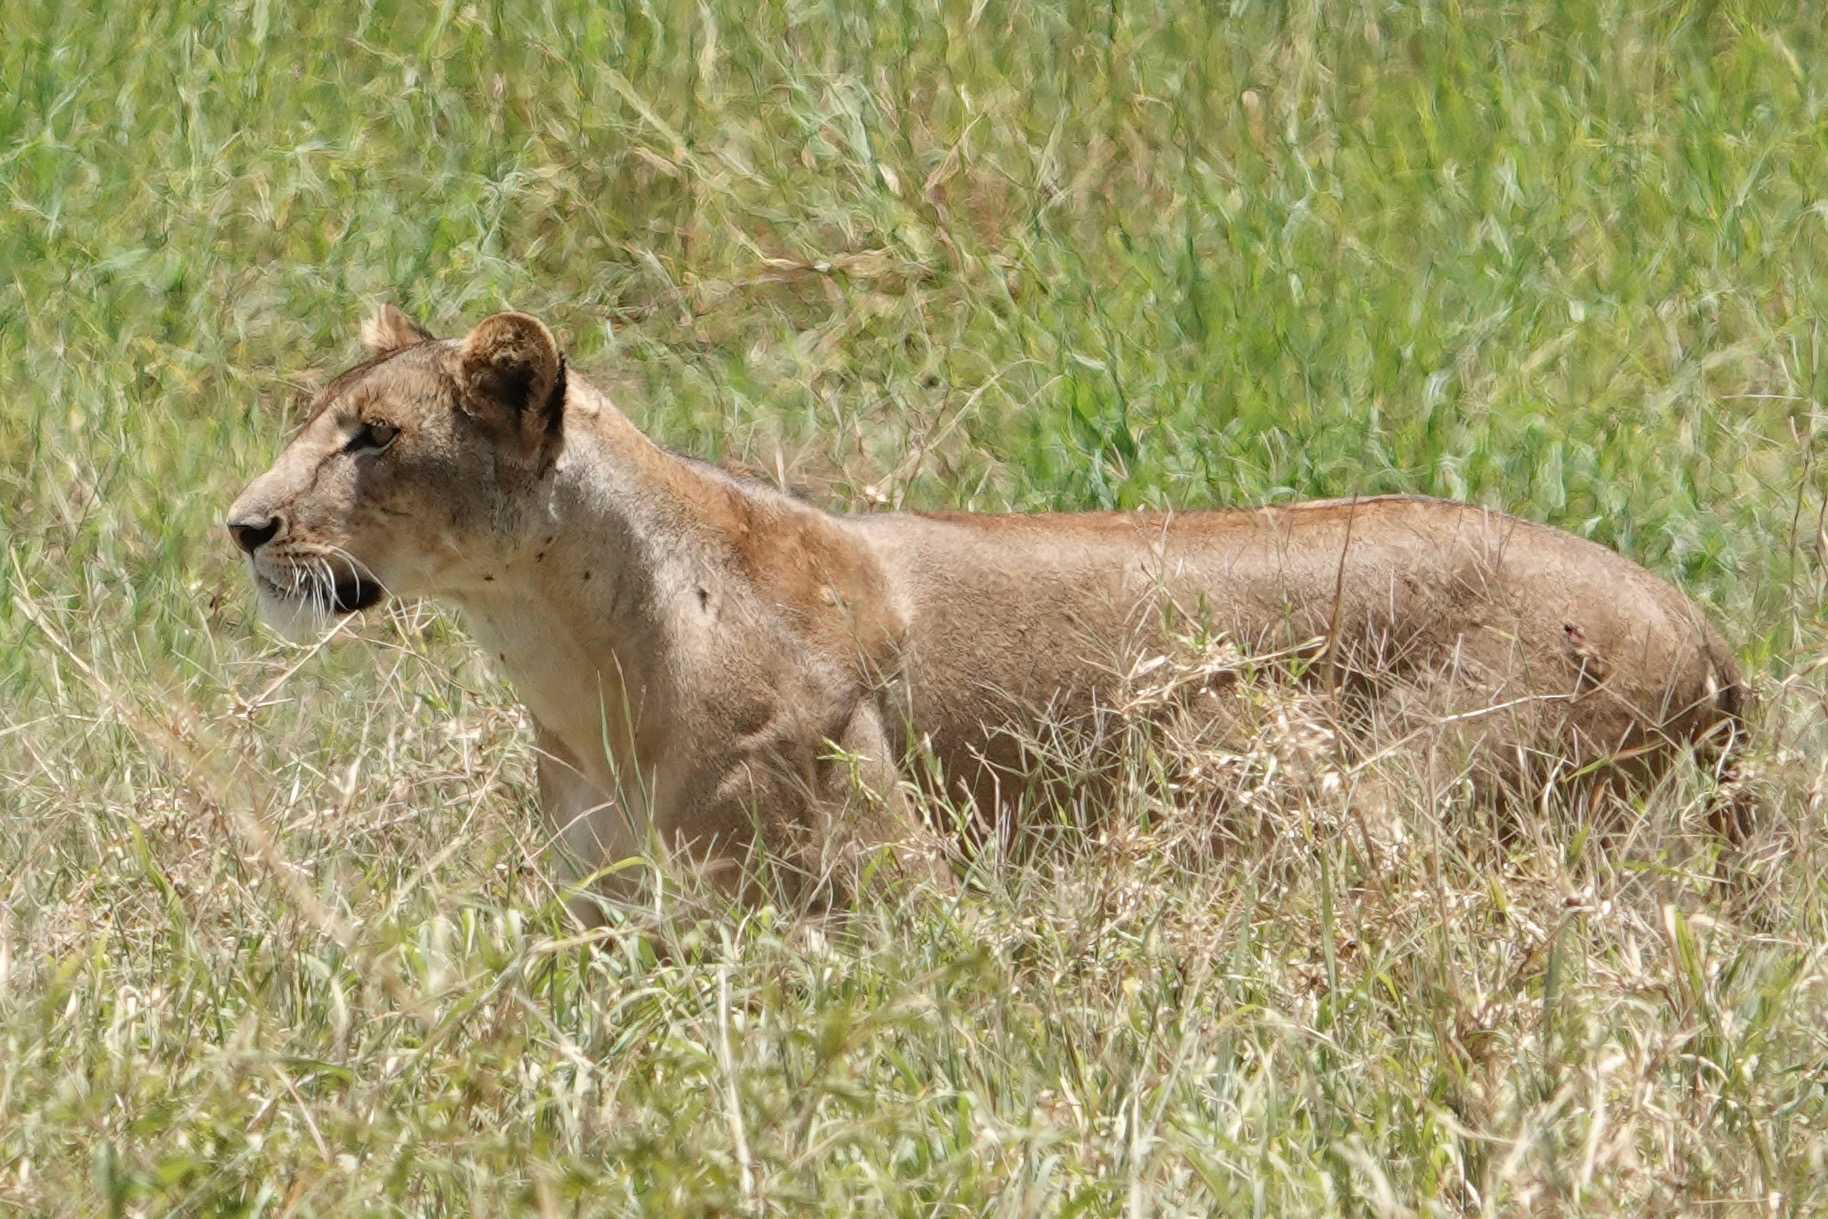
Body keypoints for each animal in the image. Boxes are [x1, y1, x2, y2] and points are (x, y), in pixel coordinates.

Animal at [227, 306, 1749, 918]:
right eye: (310, 418)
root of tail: (1698, 618)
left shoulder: (883, 880)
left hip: (1416, 816)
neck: (571, 654)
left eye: (372, 436)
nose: (242, 526)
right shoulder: (611, 909)